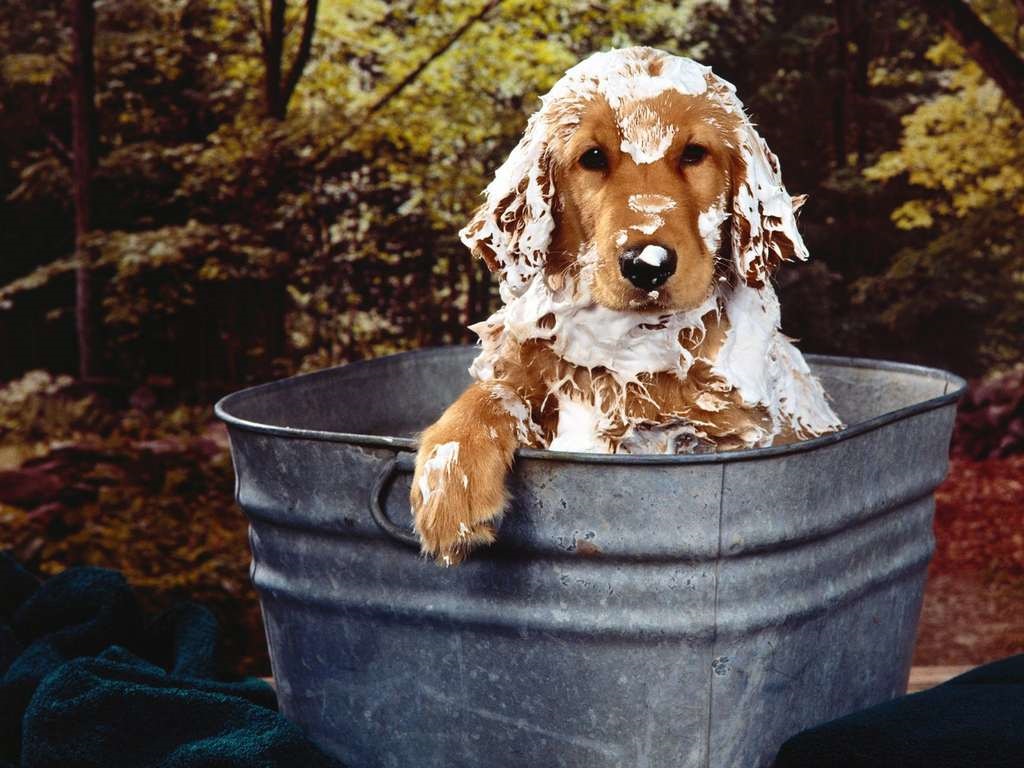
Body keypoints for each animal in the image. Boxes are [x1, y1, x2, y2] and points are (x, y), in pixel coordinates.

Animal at [407, 46, 839, 565]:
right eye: (593, 158)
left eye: (694, 154)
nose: (647, 264)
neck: (632, 341)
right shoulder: (526, 368)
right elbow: (487, 396)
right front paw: (449, 489)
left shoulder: (731, 430)